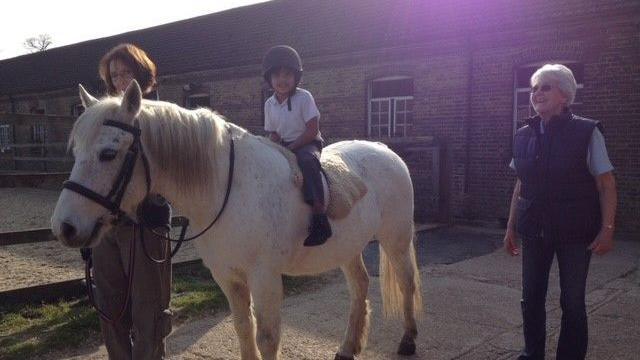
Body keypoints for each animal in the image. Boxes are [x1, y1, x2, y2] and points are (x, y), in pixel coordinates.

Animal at [52, 82, 422, 360]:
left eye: (108, 153)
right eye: (76, 153)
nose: (64, 227)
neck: (227, 189)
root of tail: (385, 150)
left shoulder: (265, 277)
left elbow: (268, 337)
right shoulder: (227, 277)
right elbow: (244, 330)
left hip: (396, 239)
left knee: (407, 282)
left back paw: (408, 341)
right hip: (347, 248)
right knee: (360, 286)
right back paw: (347, 347)